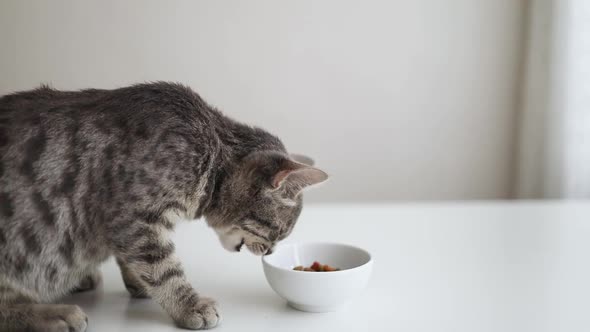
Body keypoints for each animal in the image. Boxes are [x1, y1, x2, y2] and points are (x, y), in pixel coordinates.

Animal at [0, 81, 328, 330]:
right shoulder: (134, 218)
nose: (271, 251)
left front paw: (138, 282)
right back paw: (55, 314)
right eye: (279, 232)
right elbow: (163, 269)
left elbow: (134, 261)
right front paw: (188, 305)